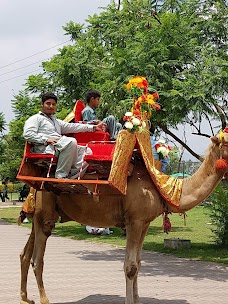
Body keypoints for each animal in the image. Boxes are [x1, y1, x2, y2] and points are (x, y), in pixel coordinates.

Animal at [20, 128, 228, 304]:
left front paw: (137, 300)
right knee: (37, 259)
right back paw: (44, 300)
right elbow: (130, 266)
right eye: (227, 141)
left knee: (25, 254)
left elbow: (138, 263)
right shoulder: (134, 221)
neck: (160, 188)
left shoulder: (144, 223)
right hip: (46, 212)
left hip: (38, 214)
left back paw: (25, 298)